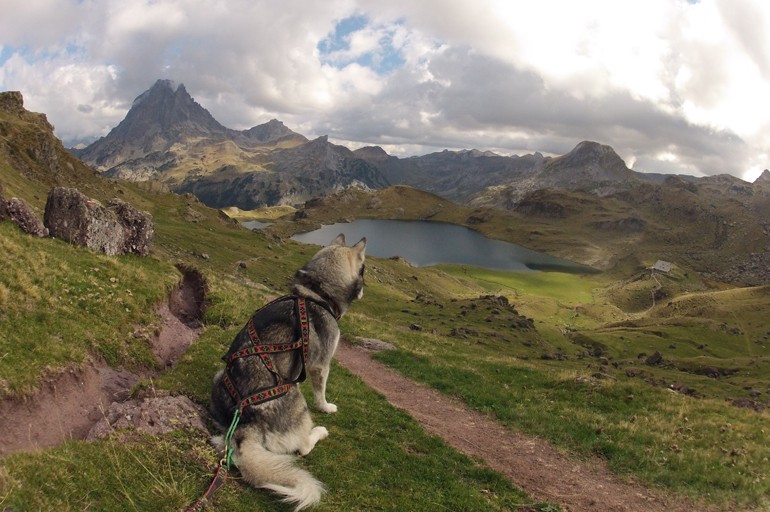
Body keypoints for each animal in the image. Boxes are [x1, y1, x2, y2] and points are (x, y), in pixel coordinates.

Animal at [210, 234, 366, 510]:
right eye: (364, 269)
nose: (365, 289)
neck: (317, 293)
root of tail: (246, 425)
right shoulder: (321, 364)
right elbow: (321, 391)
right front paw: (326, 407)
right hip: (299, 404)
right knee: (303, 446)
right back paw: (319, 432)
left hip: (219, 378)